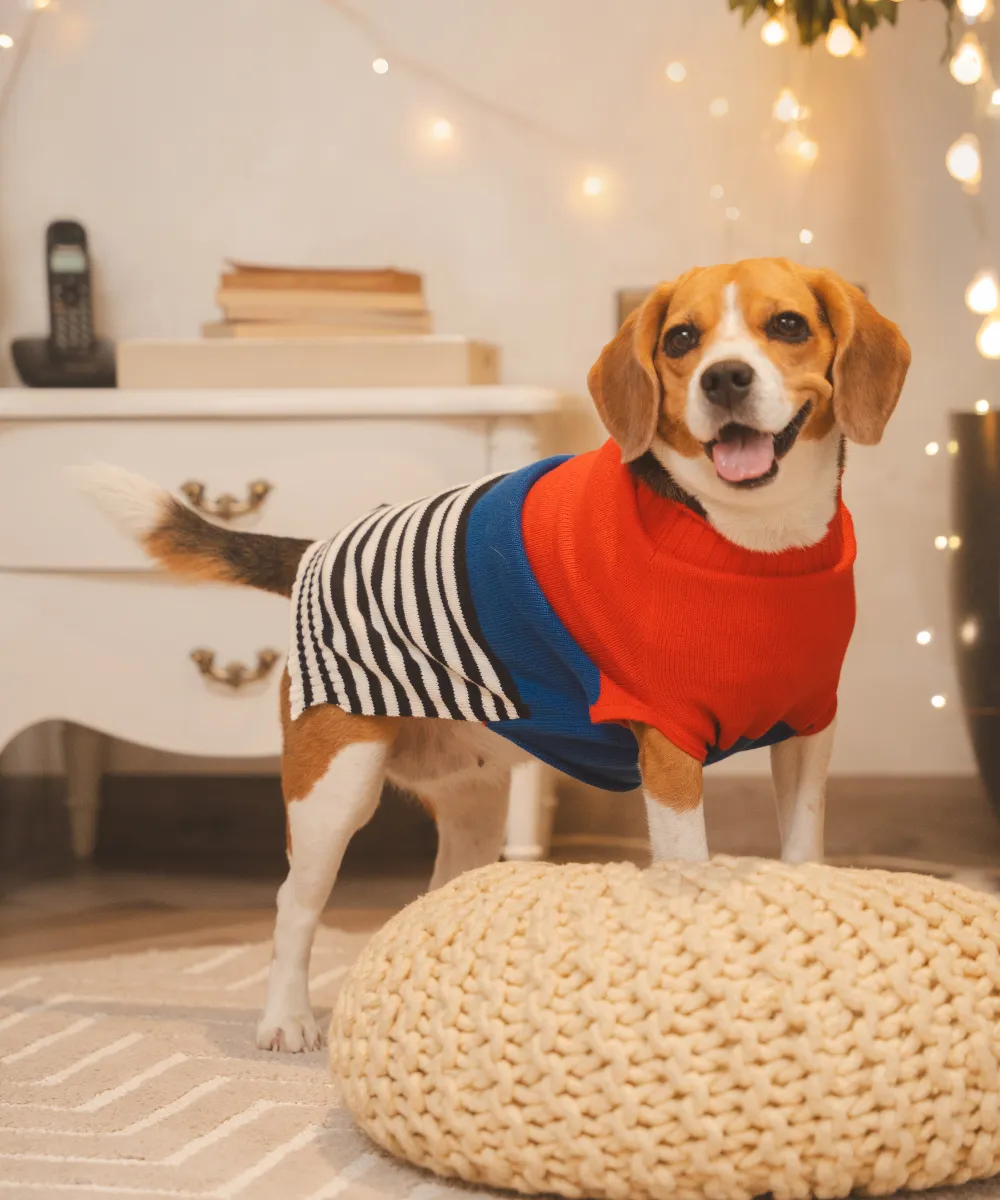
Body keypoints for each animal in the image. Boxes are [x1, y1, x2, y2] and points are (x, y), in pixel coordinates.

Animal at [79, 255, 902, 1051]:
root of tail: (316, 551)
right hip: (334, 790)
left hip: (472, 803)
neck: (754, 542)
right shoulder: (669, 751)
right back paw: (287, 1019)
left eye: (788, 325)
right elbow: (687, 869)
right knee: (294, 905)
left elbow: (803, 850)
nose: (724, 377)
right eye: (680, 339)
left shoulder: (809, 732)